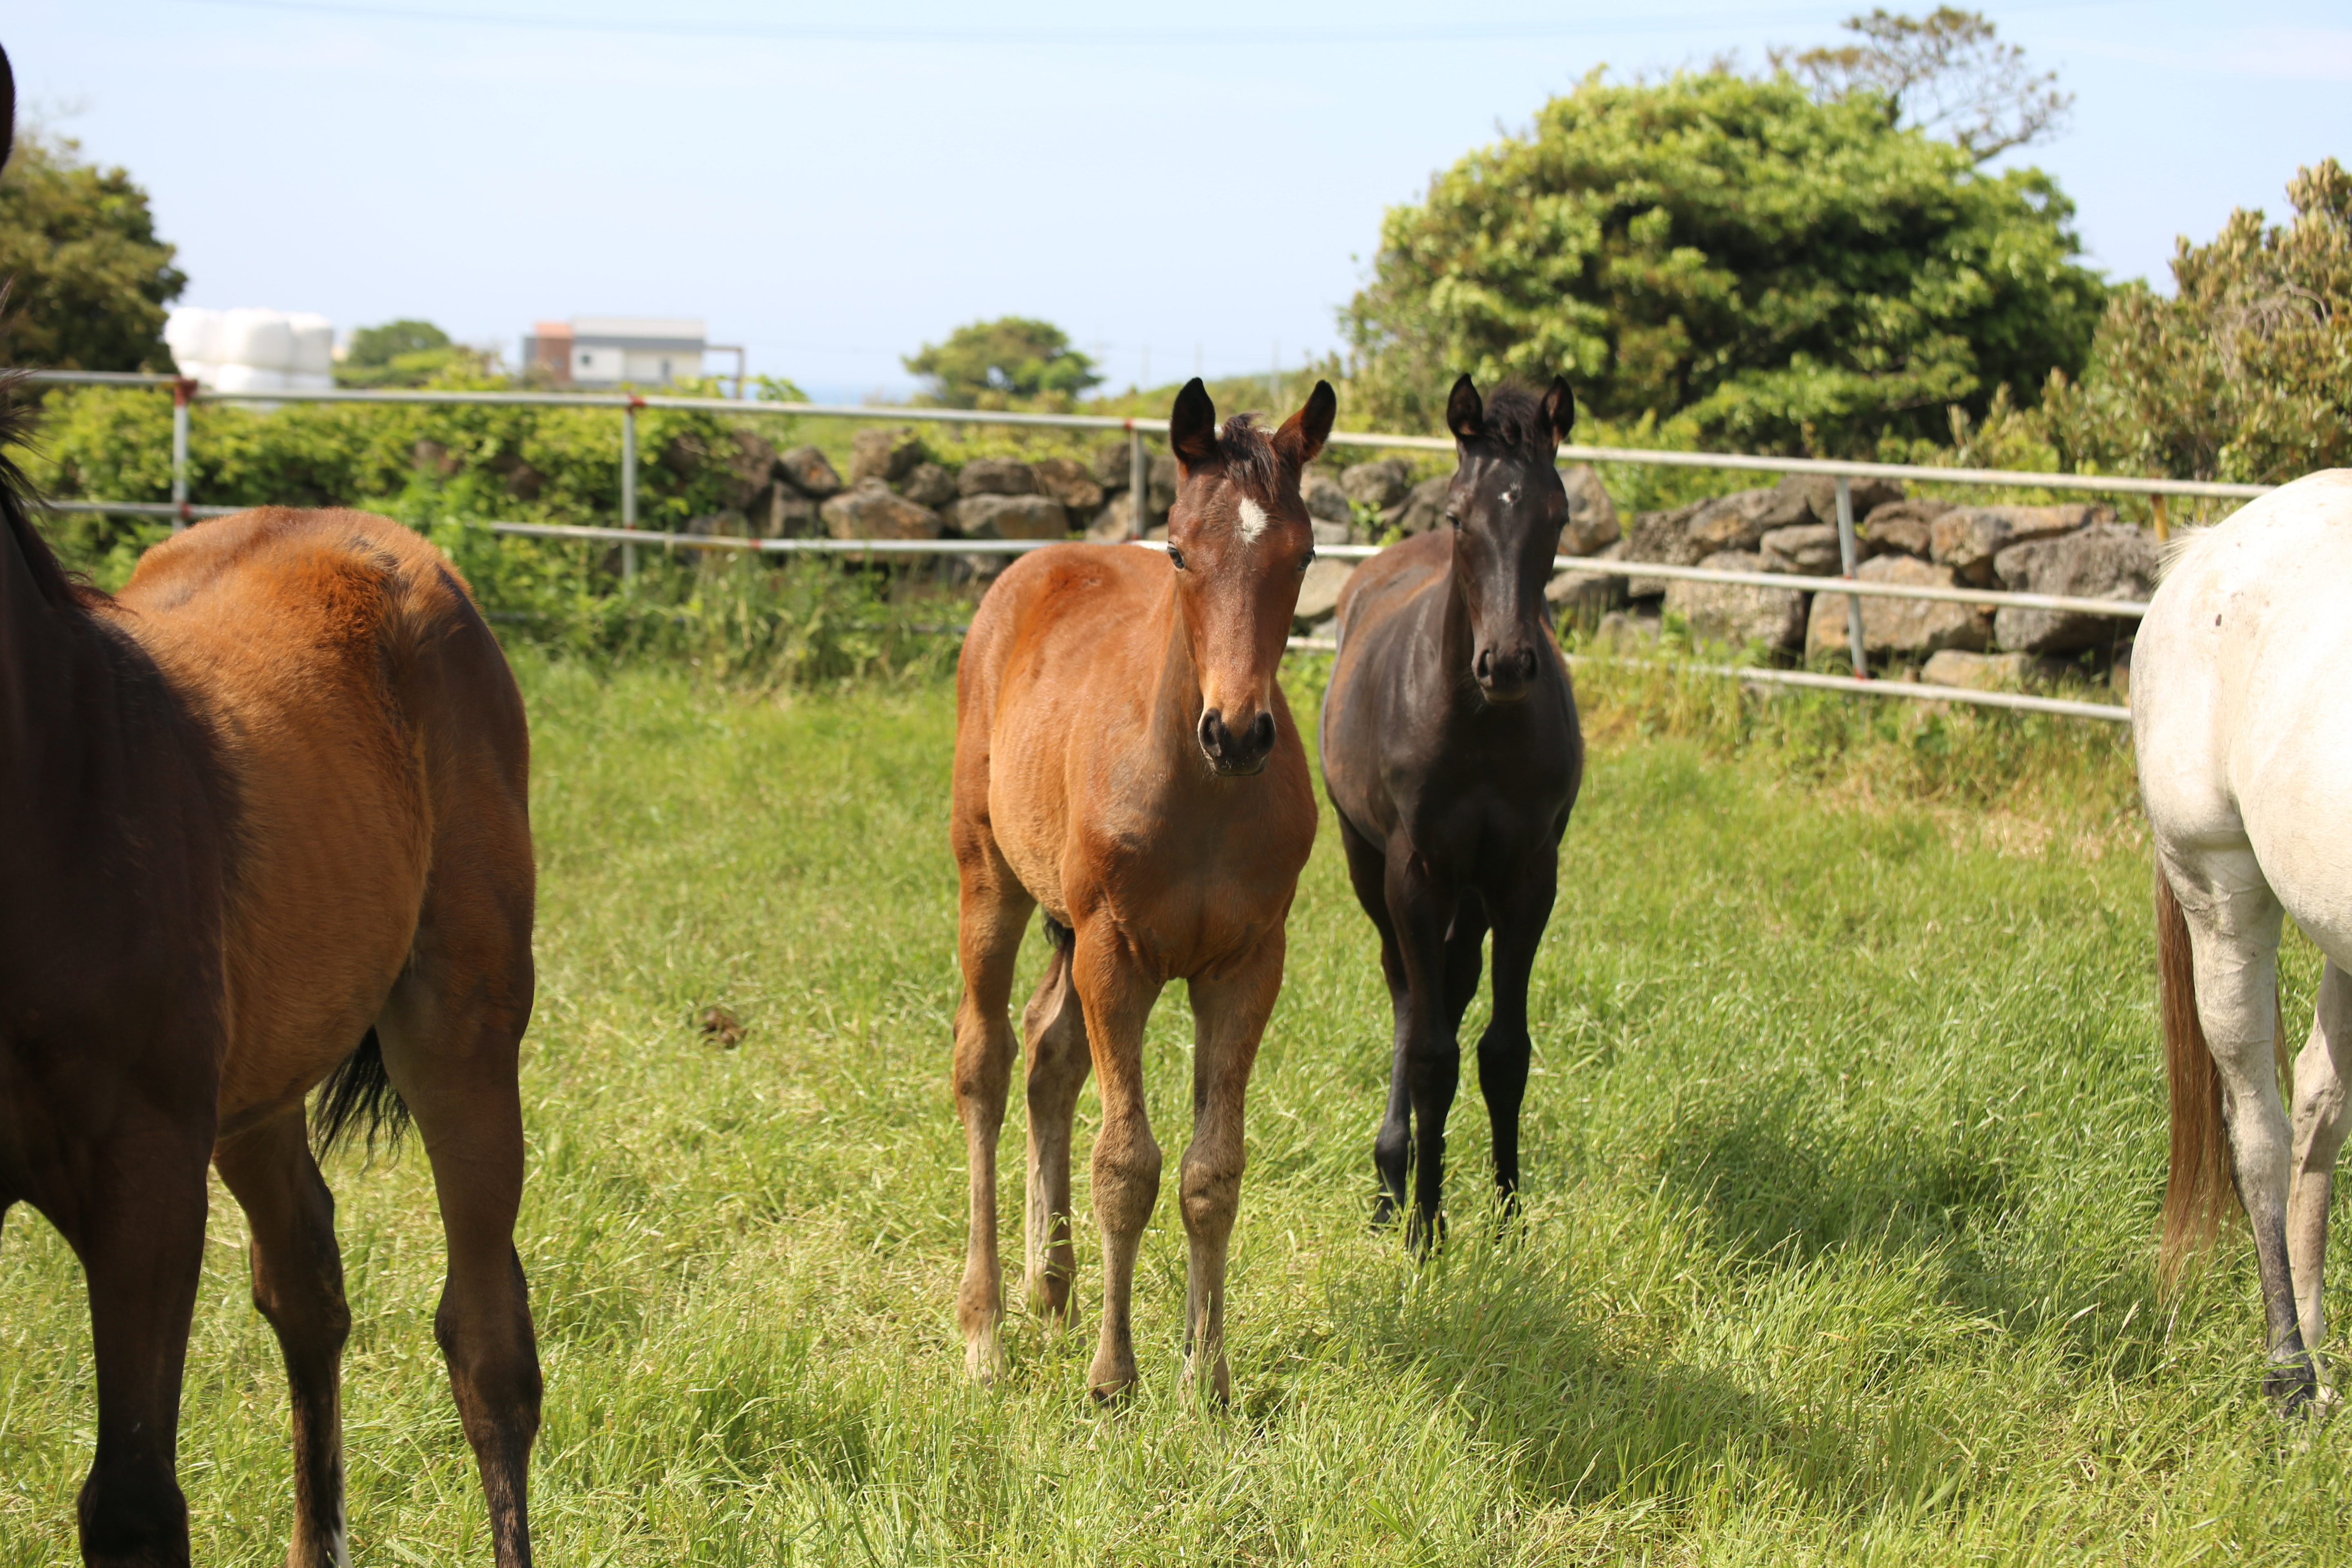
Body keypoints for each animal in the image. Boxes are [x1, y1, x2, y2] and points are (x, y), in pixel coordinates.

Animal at [0, 70, 539, 1561]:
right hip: (263, 1080)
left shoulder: (141, 1178)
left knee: (489, 1345)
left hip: (458, 1024)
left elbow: (133, 1500)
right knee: (310, 1286)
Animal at [945, 376, 1336, 1401]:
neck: (1200, 795)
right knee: (986, 1061)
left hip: (1067, 925)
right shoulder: (1116, 954)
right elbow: (1125, 1164)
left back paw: (1050, 1287)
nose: (1236, 732)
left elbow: (1211, 1171)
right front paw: (1114, 1378)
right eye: (1179, 551)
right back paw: (984, 1330)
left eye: (1304, 555)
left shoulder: (1246, 966)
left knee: (1048, 1056)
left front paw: (1209, 1378)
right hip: (992, 879)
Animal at [1326, 374, 1580, 1241]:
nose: (1505, 664)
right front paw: (1424, 1232)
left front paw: (1507, 1221)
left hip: (1474, 891)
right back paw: (1390, 1182)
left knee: (1454, 982)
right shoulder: (1419, 870)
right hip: (1370, 865)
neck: (1480, 725)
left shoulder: (1528, 875)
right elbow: (1435, 1052)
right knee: (1410, 993)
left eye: (1557, 515)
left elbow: (1505, 1052)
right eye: (1459, 514)